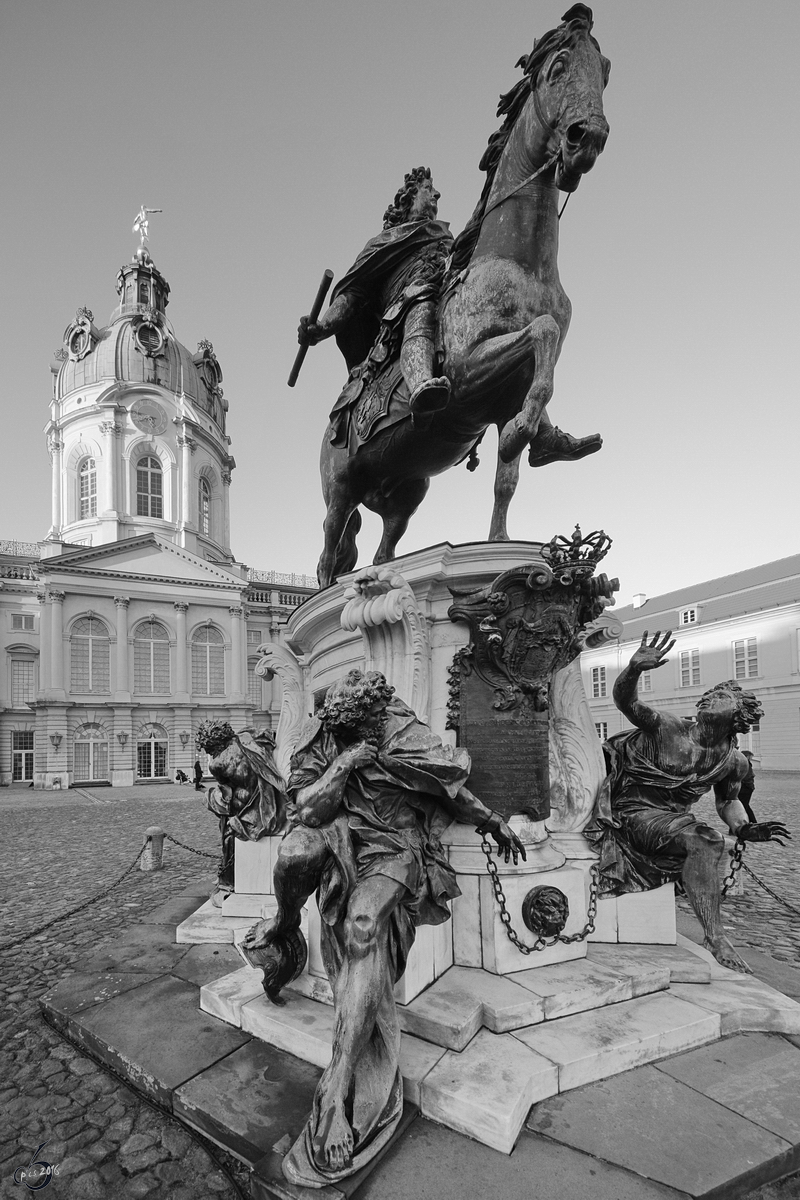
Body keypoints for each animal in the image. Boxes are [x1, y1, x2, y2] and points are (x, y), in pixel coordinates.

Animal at [316, 4, 609, 585]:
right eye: (559, 66)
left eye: (605, 70)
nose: (587, 136)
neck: (520, 261)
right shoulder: (471, 372)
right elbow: (540, 333)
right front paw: (522, 433)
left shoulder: (508, 392)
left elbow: (507, 477)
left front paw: (532, 457)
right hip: (340, 489)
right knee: (327, 553)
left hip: (405, 489)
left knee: (382, 548)